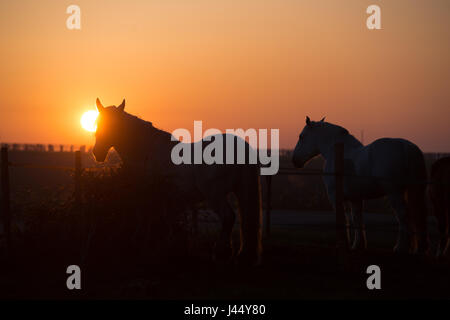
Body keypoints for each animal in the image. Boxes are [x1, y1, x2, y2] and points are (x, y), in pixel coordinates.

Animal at [92, 97, 264, 264]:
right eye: (98, 123)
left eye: (112, 125)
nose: (97, 152)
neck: (147, 151)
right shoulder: (166, 198)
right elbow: (165, 220)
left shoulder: (147, 194)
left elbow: (146, 217)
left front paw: (143, 244)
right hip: (240, 191)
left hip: (214, 194)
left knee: (228, 217)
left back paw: (221, 254)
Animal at [292, 116, 428, 254]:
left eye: (301, 136)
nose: (295, 160)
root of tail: (406, 147)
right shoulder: (356, 198)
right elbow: (357, 219)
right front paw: (358, 245)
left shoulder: (335, 197)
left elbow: (344, 219)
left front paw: (343, 244)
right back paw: (418, 248)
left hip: (394, 193)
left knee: (403, 216)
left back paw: (400, 247)